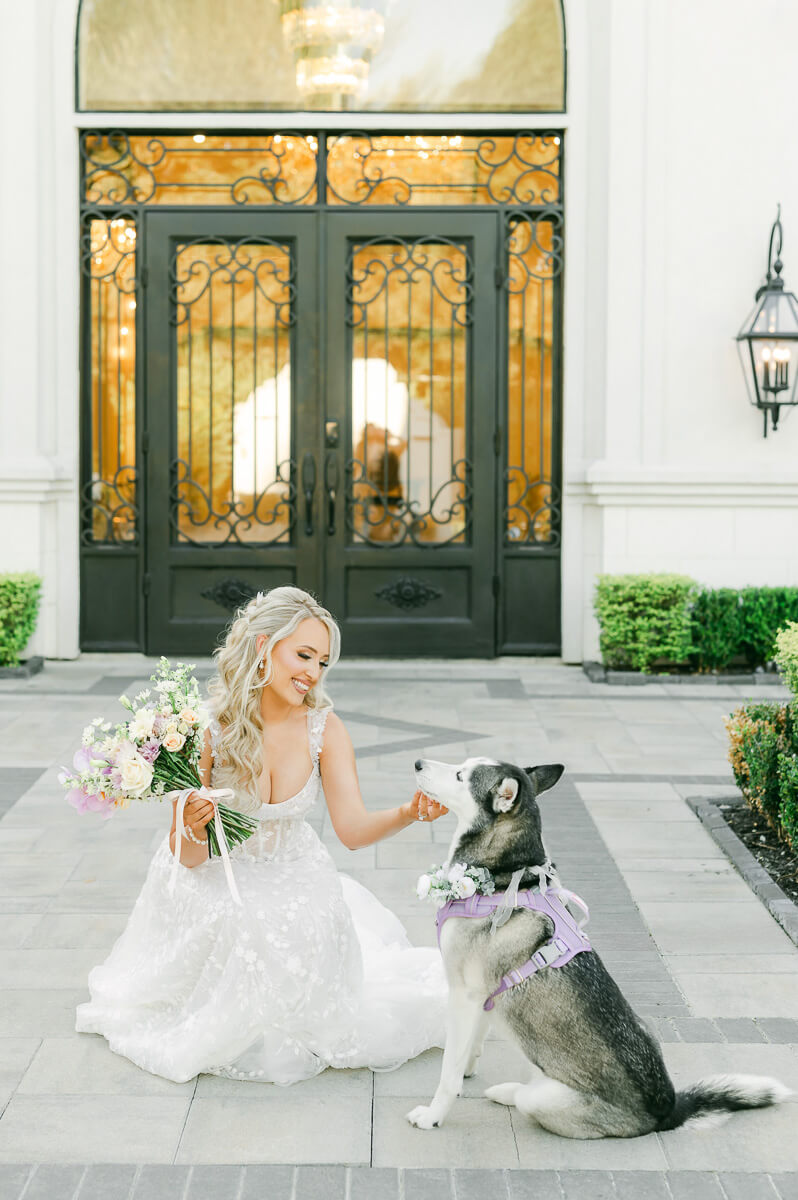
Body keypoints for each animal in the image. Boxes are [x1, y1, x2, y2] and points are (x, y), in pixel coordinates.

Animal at [405, 753, 792, 1137]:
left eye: (460, 775)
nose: (418, 763)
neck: (503, 879)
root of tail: (665, 1108)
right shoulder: (485, 993)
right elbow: (472, 1043)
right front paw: (469, 1067)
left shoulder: (464, 993)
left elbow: (448, 1073)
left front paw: (434, 1114)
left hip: (548, 1099)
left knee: (530, 1098)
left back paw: (509, 1092)